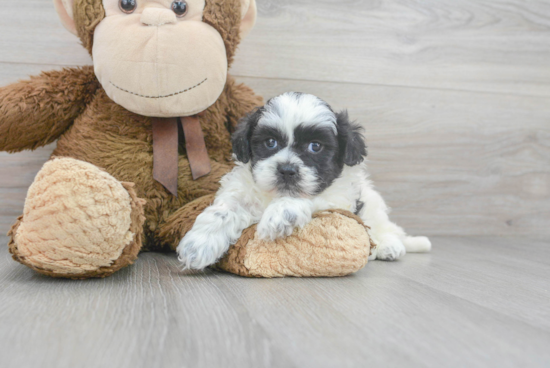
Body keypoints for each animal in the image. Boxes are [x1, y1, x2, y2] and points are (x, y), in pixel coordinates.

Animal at [177, 92, 432, 270]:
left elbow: (307, 198)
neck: (275, 195)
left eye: (315, 146)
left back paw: (390, 246)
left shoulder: (338, 197)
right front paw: (198, 245)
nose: (287, 170)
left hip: (373, 206)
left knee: (385, 228)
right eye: (270, 142)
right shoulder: (241, 191)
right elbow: (222, 211)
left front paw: (281, 214)